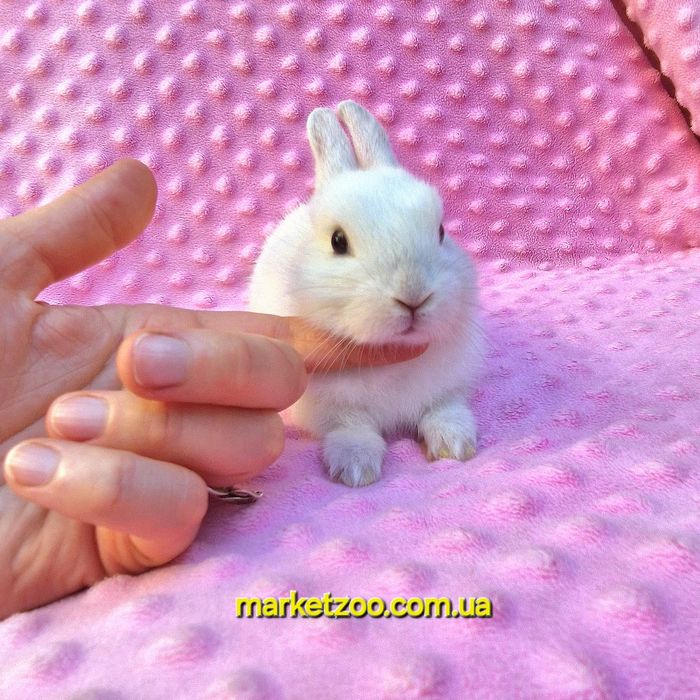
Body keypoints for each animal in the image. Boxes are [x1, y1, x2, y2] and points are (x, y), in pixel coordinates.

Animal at [248, 100, 484, 487]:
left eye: (441, 231)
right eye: (337, 241)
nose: (413, 295)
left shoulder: (448, 386)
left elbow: (443, 410)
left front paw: (456, 446)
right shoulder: (334, 407)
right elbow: (353, 429)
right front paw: (356, 470)